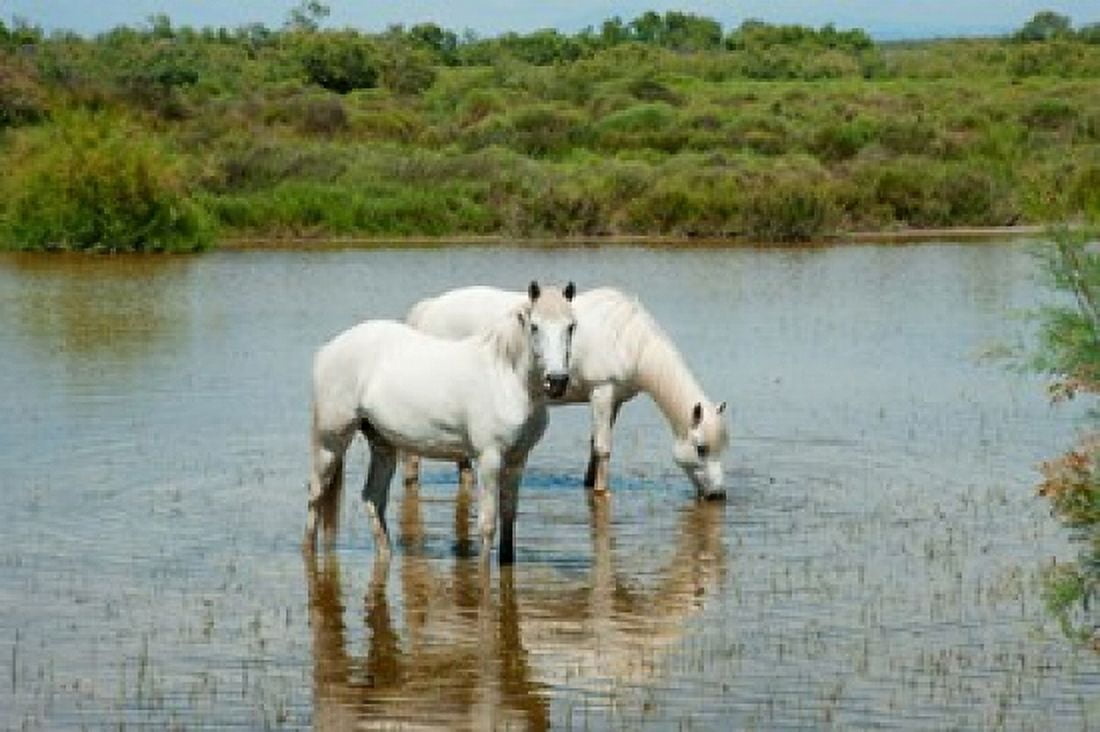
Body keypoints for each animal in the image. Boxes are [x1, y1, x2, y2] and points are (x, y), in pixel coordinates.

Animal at [305, 281, 577, 564]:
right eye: (535, 326)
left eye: (571, 326)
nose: (557, 381)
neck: (505, 377)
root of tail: (328, 350)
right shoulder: (489, 458)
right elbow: (488, 525)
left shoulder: (518, 459)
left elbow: (508, 520)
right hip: (330, 442)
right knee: (316, 495)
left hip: (382, 444)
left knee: (372, 498)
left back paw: (386, 553)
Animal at [404, 285, 728, 499]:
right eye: (701, 448)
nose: (717, 495)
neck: (628, 338)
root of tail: (429, 308)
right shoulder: (601, 391)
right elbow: (603, 447)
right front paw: (601, 491)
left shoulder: (615, 400)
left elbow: (595, 444)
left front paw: (589, 483)